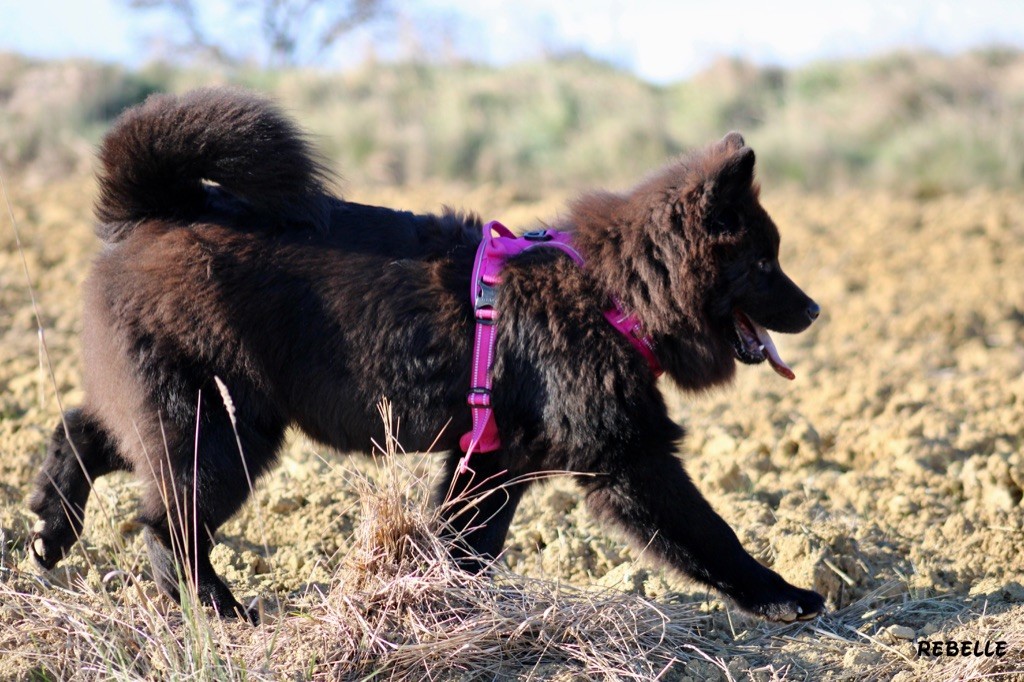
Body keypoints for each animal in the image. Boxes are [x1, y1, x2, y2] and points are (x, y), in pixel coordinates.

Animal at [28, 89, 823, 622]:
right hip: (222, 426)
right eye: (764, 263)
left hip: (179, 408)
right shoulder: (628, 458)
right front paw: (782, 595)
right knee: (167, 526)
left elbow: (468, 541)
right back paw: (219, 610)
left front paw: (442, 599)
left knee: (83, 430)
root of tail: (154, 210)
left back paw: (47, 527)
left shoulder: (494, 458)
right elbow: (710, 532)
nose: (816, 309)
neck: (611, 293)